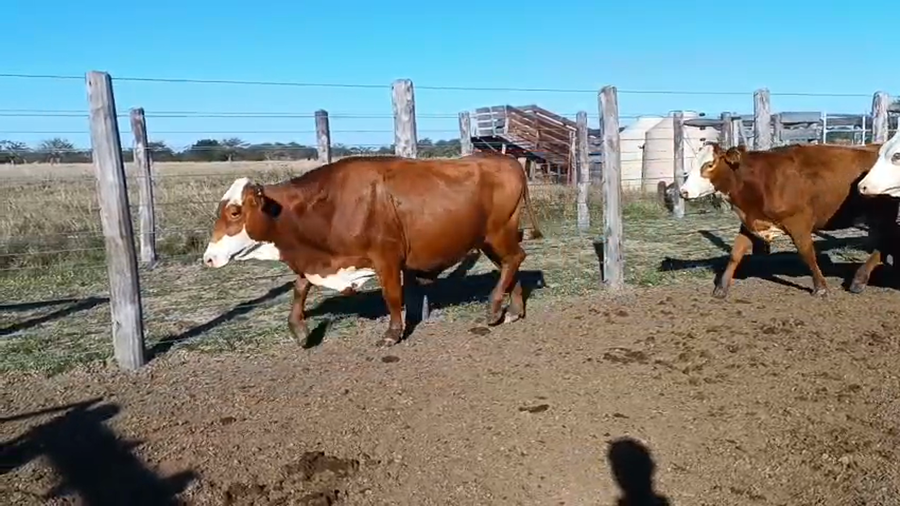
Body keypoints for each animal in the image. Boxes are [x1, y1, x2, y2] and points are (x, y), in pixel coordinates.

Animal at [202, 153, 543, 347]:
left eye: (234, 212)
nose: (208, 258)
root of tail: (506, 160)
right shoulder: (321, 260)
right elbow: (300, 288)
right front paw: (299, 330)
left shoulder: (387, 257)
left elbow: (392, 295)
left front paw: (393, 333)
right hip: (490, 239)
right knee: (511, 264)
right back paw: (513, 310)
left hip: (498, 233)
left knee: (515, 259)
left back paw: (494, 307)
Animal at [679, 142, 899, 298]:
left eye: (709, 164)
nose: (683, 191)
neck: (762, 180)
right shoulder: (750, 222)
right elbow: (735, 254)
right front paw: (721, 288)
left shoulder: (798, 222)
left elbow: (807, 254)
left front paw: (820, 287)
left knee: (885, 242)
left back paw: (859, 280)